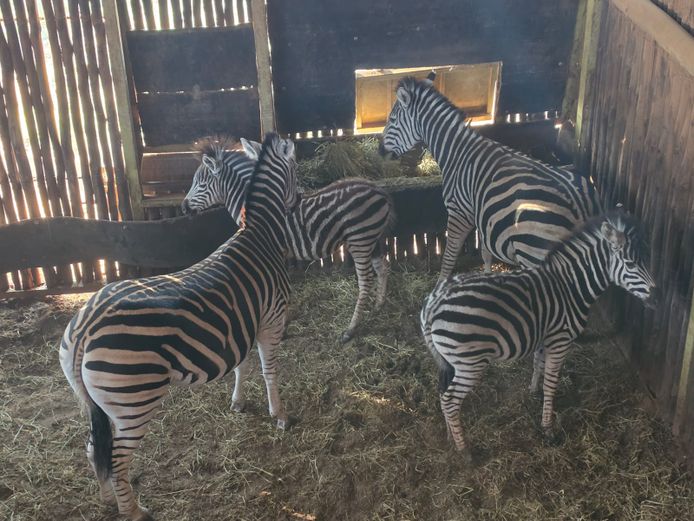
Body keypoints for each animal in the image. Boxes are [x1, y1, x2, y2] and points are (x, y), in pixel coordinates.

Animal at [59, 133, 299, 521]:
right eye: (296, 171)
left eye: (200, 180)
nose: (300, 200)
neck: (257, 232)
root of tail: (86, 327)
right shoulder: (271, 320)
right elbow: (269, 371)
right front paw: (279, 414)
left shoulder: (243, 325)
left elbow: (242, 366)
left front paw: (238, 402)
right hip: (133, 401)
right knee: (117, 460)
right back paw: (135, 511)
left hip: (97, 403)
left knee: (94, 449)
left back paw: (109, 500)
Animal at [183, 137, 396, 343]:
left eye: (200, 184)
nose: (184, 208)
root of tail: (379, 191)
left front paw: (282, 327)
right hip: (371, 238)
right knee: (383, 267)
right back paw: (379, 305)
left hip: (360, 239)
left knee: (366, 281)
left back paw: (350, 330)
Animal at [381, 73, 601, 282]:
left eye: (392, 120)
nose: (380, 151)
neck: (456, 151)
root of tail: (580, 205)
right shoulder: (483, 215)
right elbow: (486, 254)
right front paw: (487, 276)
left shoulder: (459, 212)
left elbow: (449, 257)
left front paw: (440, 284)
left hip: (533, 250)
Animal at [420, 211, 655, 457]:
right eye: (630, 263)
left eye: (647, 258)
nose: (656, 298)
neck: (570, 286)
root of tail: (433, 302)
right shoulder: (560, 340)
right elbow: (551, 383)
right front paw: (548, 428)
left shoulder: (544, 337)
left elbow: (538, 365)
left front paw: (534, 392)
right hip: (470, 363)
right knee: (450, 400)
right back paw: (465, 451)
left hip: (450, 359)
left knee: (442, 393)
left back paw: (450, 436)